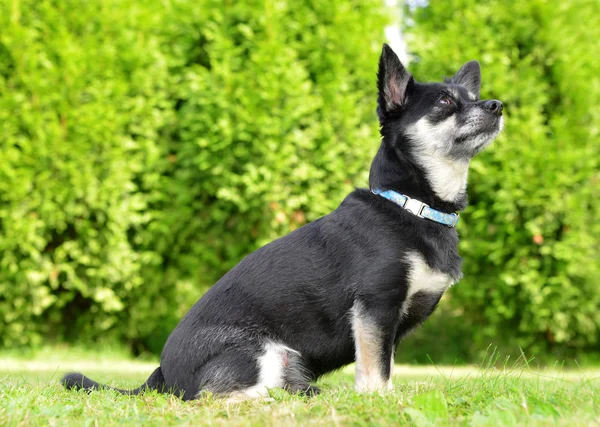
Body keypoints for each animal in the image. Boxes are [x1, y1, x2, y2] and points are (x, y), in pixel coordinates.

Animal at [62, 43, 502, 402]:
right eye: (444, 102)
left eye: (473, 98)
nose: (497, 105)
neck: (412, 205)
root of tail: (160, 376)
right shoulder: (376, 308)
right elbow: (375, 371)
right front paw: (380, 402)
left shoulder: (389, 325)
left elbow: (385, 367)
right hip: (263, 351)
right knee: (214, 395)